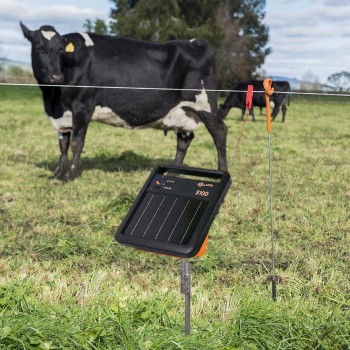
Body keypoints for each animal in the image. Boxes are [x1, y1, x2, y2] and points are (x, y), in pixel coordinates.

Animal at [19, 21, 227, 179]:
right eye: (40, 50)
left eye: (61, 51)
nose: (56, 77)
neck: (53, 100)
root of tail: (196, 42)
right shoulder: (62, 116)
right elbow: (63, 145)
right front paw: (57, 174)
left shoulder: (82, 106)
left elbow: (77, 143)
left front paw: (70, 175)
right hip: (182, 111)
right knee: (184, 140)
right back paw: (173, 173)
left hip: (206, 104)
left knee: (220, 132)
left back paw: (223, 172)